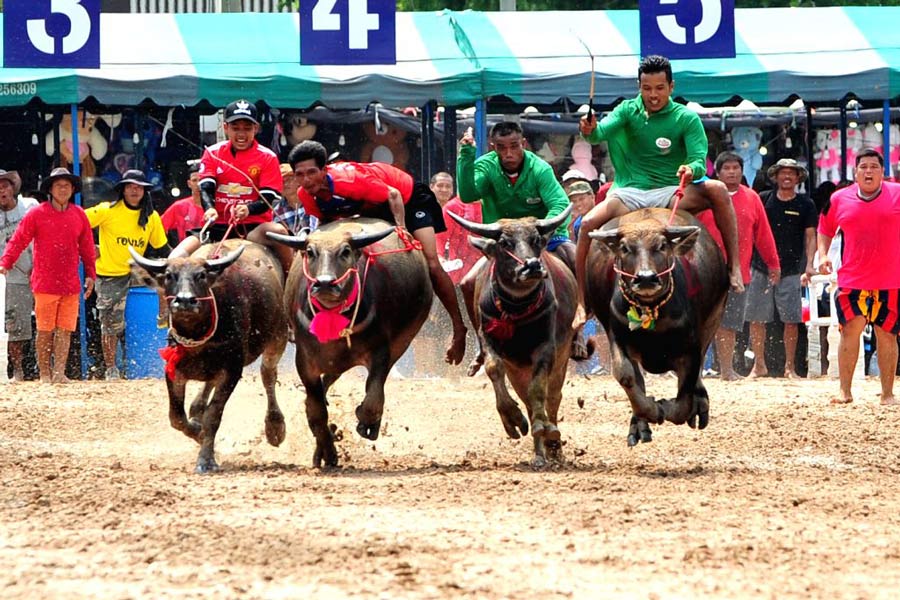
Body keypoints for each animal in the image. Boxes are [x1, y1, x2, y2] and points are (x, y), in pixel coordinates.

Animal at [126, 240, 286, 474]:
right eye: (169, 275)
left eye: (201, 275)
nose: (185, 301)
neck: (198, 339)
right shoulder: (174, 371)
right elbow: (176, 417)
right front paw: (197, 430)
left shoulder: (231, 372)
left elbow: (213, 416)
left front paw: (205, 459)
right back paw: (197, 410)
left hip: (277, 337)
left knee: (268, 375)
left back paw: (275, 426)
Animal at [268, 217, 432, 468]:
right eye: (310, 252)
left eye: (345, 252)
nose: (325, 283)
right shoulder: (304, 361)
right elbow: (317, 412)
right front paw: (328, 452)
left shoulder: (380, 352)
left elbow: (373, 400)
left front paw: (365, 423)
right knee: (324, 389)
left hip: (401, 343)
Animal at [446, 206, 572, 468]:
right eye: (504, 243)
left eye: (536, 240)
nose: (532, 266)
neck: (516, 310)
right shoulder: (490, 341)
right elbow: (494, 369)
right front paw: (513, 419)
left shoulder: (546, 348)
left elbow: (539, 389)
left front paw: (542, 425)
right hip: (518, 368)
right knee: (527, 398)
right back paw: (539, 453)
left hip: (562, 357)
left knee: (552, 397)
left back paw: (552, 443)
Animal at [588, 207, 728, 446]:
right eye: (625, 248)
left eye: (662, 245)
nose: (646, 278)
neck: (651, 310)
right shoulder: (617, 336)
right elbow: (625, 375)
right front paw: (651, 410)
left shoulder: (691, 348)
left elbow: (683, 400)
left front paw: (666, 406)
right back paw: (639, 425)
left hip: (714, 319)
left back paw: (699, 403)